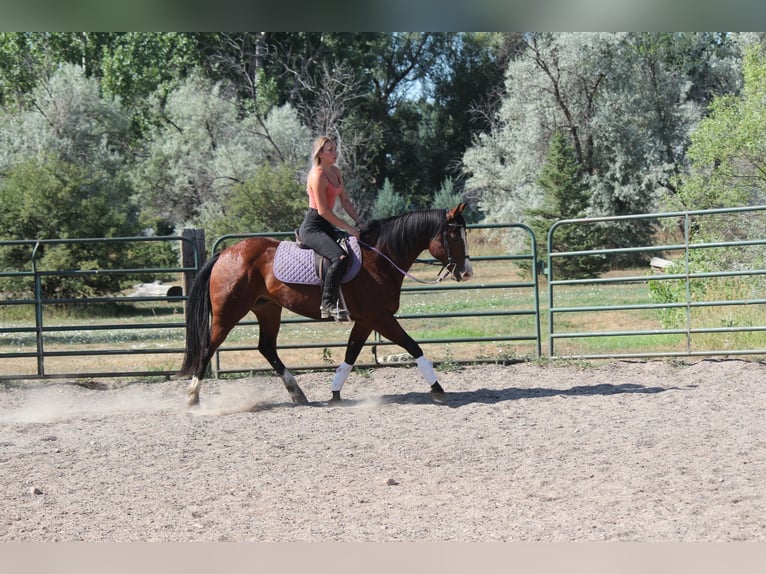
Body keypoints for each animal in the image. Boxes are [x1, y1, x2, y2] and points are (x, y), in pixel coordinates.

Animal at [179, 203, 473, 406]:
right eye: (454, 236)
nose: (467, 272)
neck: (379, 258)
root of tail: (224, 254)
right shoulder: (381, 318)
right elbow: (413, 346)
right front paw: (437, 389)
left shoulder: (366, 320)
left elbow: (350, 354)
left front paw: (335, 392)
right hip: (228, 313)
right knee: (208, 346)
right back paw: (192, 396)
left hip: (268, 309)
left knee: (267, 347)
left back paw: (297, 393)